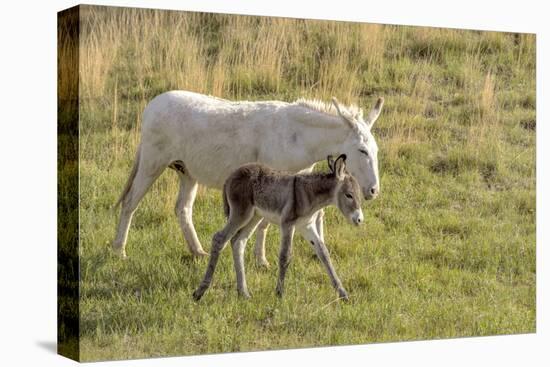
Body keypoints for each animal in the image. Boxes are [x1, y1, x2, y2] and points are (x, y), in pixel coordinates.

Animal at [194, 155, 366, 302]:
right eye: (349, 195)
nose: (359, 220)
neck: (309, 194)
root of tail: (231, 176)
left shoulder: (306, 226)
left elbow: (323, 253)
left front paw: (343, 293)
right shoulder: (288, 224)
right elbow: (285, 255)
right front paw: (279, 293)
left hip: (254, 216)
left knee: (238, 242)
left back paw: (243, 292)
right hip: (240, 213)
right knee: (219, 239)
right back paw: (200, 291)